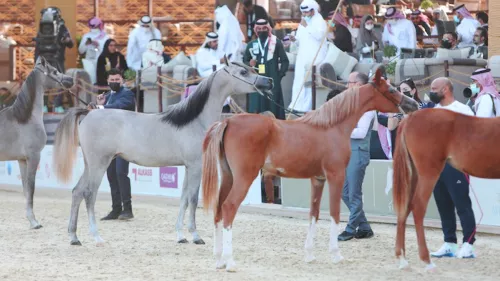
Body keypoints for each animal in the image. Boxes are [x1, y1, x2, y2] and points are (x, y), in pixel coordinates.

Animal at [0, 56, 74, 228]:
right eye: (54, 71)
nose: (70, 80)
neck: (25, 118)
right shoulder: (34, 156)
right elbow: (31, 188)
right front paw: (34, 222)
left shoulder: (22, 160)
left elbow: (25, 189)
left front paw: (30, 219)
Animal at [52, 59, 272, 245]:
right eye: (243, 72)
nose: (268, 81)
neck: (193, 121)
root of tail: (88, 113)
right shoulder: (195, 166)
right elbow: (193, 199)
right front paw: (196, 236)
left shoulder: (188, 168)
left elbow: (184, 199)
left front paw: (181, 236)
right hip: (99, 164)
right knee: (89, 195)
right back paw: (97, 237)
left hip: (90, 165)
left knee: (77, 192)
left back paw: (74, 238)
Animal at [199, 69, 418, 270]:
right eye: (391, 89)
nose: (413, 104)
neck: (331, 127)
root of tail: (228, 120)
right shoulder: (336, 176)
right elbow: (335, 213)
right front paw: (336, 255)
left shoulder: (317, 179)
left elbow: (314, 214)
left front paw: (310, 255)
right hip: (244, 177)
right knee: (229, 208)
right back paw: (230, 261)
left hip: (228, 177)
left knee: (219, 209)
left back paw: (219, 260)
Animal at [394, 107, 500, 272]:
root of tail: (410, 117)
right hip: (429, 174)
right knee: (418, 207)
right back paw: (427, 260)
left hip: (413, 174)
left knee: (405, 207)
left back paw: (403, 259)